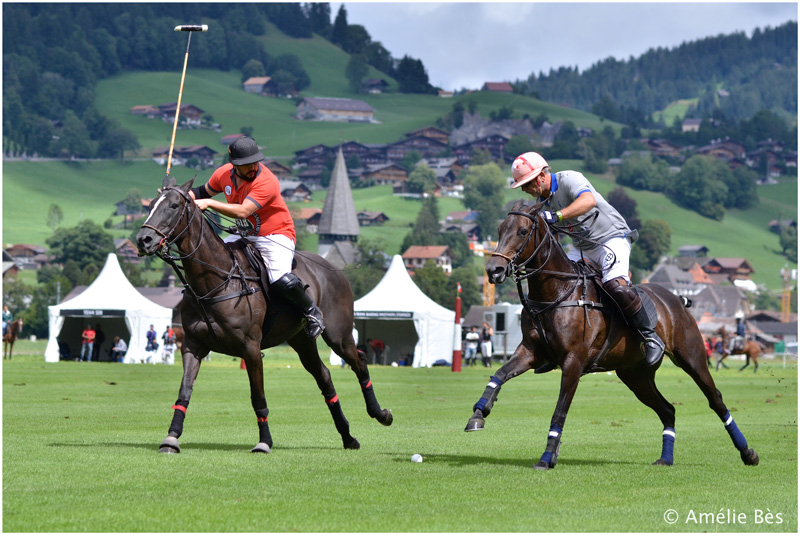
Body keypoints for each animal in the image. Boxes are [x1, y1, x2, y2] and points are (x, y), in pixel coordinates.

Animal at [136, 178, 392, 454]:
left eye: (173, 206)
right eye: (151, 205)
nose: (143, 239)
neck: (213, 282)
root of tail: (336, 270)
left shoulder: (251, 348)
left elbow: (258, 397)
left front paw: (264, 442)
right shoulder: (192, 345)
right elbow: (184, 391)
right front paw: (171, 438)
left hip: (339, 335)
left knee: (359, 361)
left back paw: (380, 414)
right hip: (301, 340)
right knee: (323, 375)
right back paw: (348, 436)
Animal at [462, 203, 756, 472]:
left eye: (523, 231)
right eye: (500, 230)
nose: (494, 270)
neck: (556, 292)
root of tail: (677, 299)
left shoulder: (573, 361)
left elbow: (560, 410)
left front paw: (546, 458)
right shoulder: (531, 352)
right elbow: (499, 374)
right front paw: (478, 414)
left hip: (692, 357)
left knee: (715, 399)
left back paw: (748, 452)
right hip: (635, 375)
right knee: (668, 410)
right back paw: (666, 458)